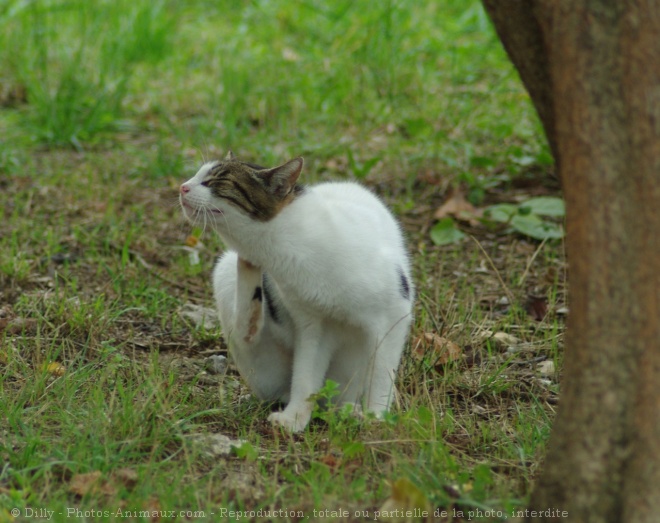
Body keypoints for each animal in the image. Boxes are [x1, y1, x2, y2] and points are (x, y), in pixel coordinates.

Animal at [180, 150, 416, 430]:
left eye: (216, 180)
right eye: (197, 176)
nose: (183, 186)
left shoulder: (393, 315)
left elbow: (381, 374)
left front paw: (376, 417)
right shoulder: (314, 326)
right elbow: (305, 375)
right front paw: (294, 419)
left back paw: (352, 411)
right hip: (226, 271)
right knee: (247, 337)